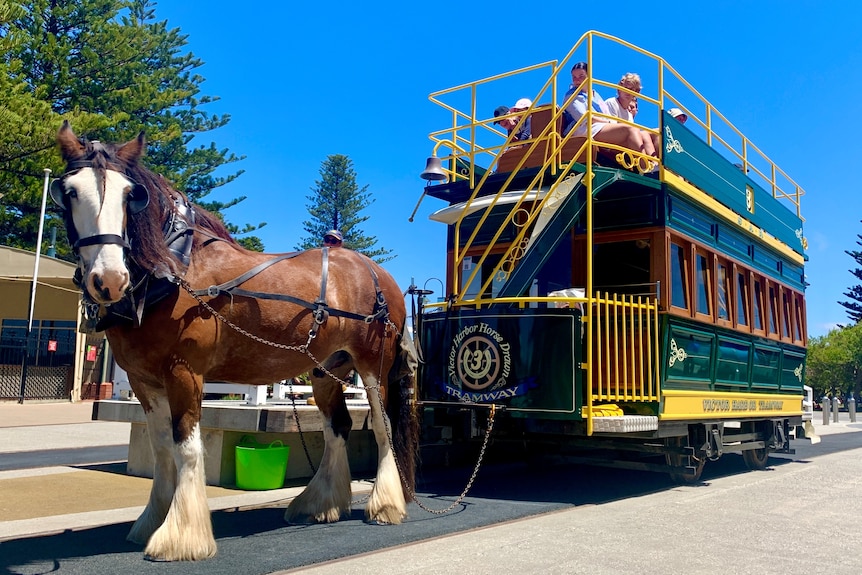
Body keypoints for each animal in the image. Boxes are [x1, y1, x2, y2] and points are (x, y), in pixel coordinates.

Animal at [51, 125, 422, 564]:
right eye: (68, 192)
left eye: (130, 195)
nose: (108, 279)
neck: (173, 270)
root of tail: (378, 272)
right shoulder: (144, 382)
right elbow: (161, 449)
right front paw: (152, 520)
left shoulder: (185, 371)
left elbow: (186, 446)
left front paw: (180, 536)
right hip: (326, 370)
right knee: (338, 427)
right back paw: (319, 503)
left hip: (372, 366)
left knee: (382, 428)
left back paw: (386, 504)